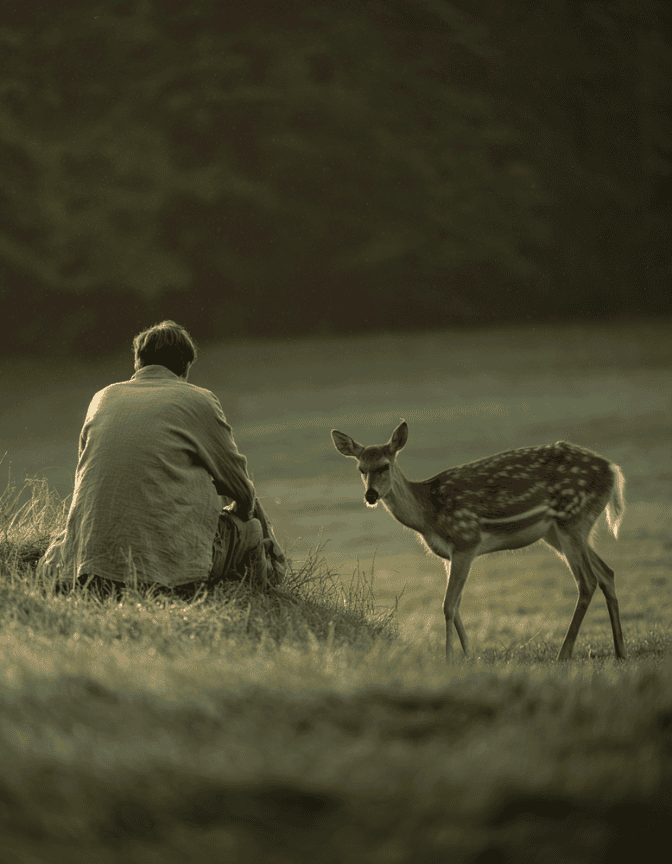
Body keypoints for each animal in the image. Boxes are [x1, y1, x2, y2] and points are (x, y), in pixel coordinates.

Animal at [331, 421, 627, 662]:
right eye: (361, 469)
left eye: (385, 466)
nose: (370, 495)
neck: (429, 515)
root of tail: (613, 471)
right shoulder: (448, 554)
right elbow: (457, 604)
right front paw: (469, 654)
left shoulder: (465, 540)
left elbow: (448, 604)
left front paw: (450, 658)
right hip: (557, 531)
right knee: (607, 573)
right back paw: (620, 651)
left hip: (572, 518)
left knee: (587, 580)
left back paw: (564, 653)